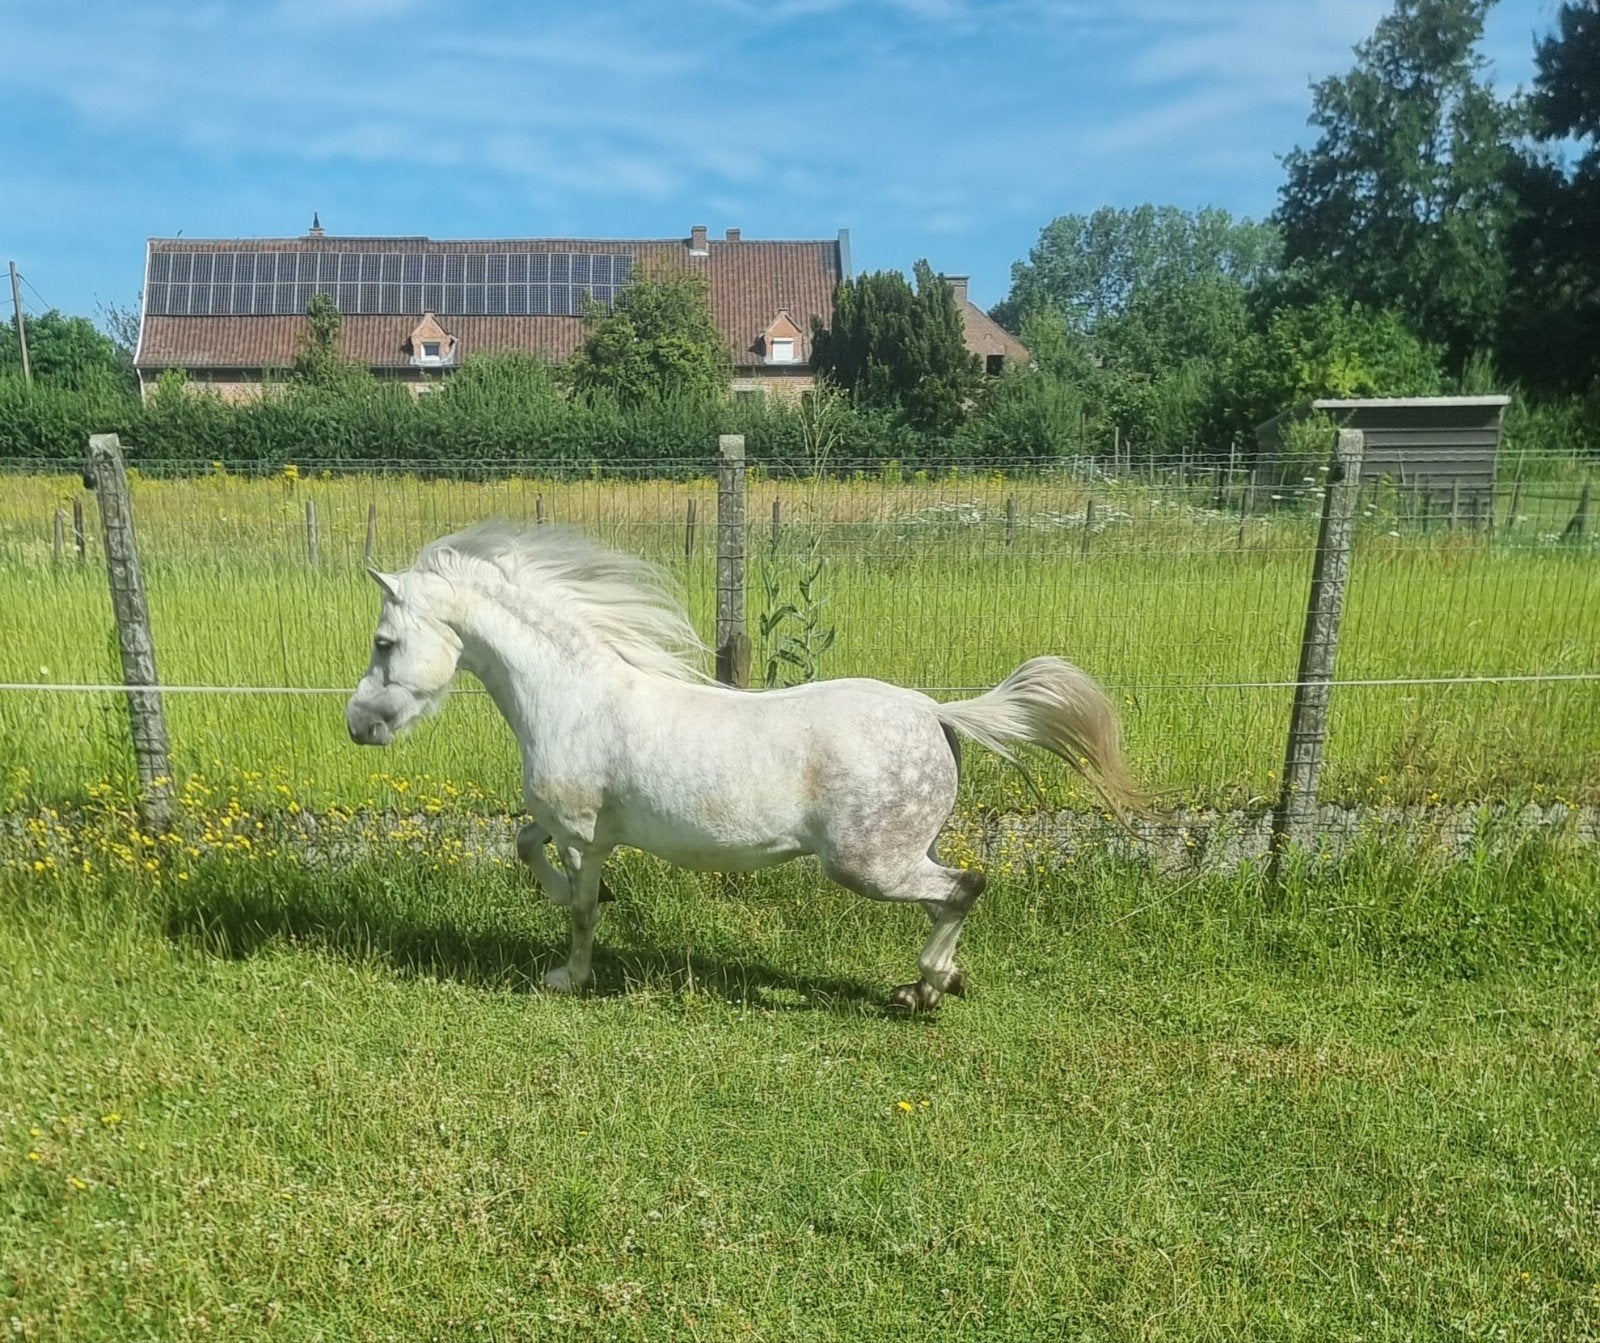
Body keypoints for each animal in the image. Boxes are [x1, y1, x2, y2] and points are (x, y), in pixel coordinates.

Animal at [344, 522, 1140, 1011]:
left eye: (384, 641)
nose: (357, 724)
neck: (570, 696)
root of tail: (934, 711)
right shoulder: (566, 827)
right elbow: (522, 846)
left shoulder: (582, 834)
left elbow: (577, 908)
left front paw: (567, 976)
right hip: (906, 850)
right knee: (948, 894)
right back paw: (945, 978)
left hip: (865, 863)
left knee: (966, 886)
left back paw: (920, 990)